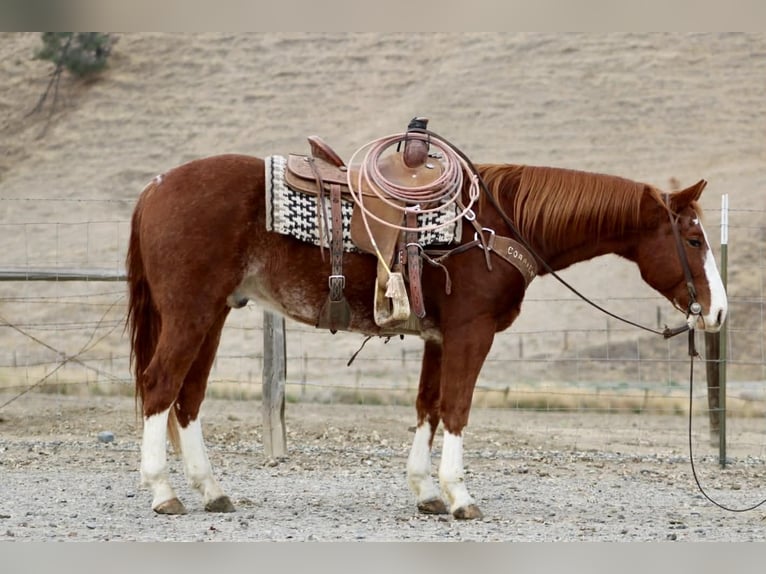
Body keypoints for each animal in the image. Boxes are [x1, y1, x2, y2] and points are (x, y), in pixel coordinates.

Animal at [126, 149, 727, 519]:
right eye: (694, 240)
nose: (719, 312)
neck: (493, 227)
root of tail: (155, 187)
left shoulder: (439, 338)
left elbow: (429, 407)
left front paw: (425, 492)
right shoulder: (471, 333)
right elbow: (457, 408)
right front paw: (459, 496)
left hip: (214, 313)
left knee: (188, 397)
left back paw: (212, 490)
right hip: (190, 311)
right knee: (160, 385)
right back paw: (163, 492)